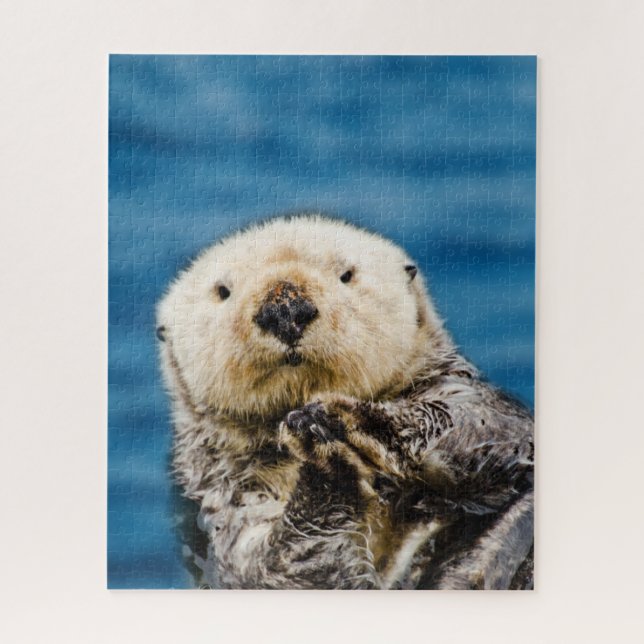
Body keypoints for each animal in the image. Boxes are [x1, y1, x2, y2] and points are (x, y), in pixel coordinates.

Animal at [156, 215, 534, 589]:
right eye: (222, 291)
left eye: (347, 275)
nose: (285, 309)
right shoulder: (226, 502)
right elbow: (280, 569)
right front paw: (322, 459)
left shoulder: (463, 391)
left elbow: (477, 425)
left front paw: (347, 417)